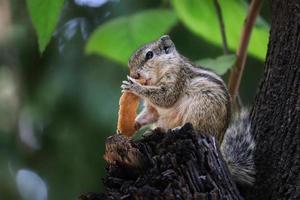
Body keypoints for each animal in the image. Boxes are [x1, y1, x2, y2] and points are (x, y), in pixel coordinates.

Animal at [121, 35, 255, 187]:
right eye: (130, 62)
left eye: (149, 55)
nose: (134, 75)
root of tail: (218, 142)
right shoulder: (152, 108)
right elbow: (151, 114)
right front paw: (134, 124)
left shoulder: (176, 80)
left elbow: (166, 97)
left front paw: (134, 86)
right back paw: (154, 131)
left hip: (201, 110)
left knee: (197, 129)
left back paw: (176, 129)